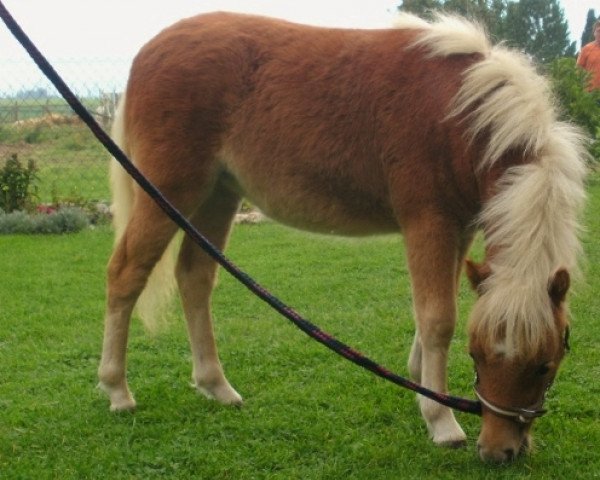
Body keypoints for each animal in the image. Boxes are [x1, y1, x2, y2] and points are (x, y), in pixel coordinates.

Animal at [97, 12, 584, 462]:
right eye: (476, 356)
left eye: (545, 365)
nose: (499, 451)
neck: (463, 115)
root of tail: (148, 53)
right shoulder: (429, 222)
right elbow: (438, 317)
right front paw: (441, 420)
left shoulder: (458, 227)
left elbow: (432, 309)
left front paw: (420, 383)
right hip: (169, 189)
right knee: (126, 274)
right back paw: (117, 389)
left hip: (218, 194)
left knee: (195, 277)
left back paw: (215, 385)